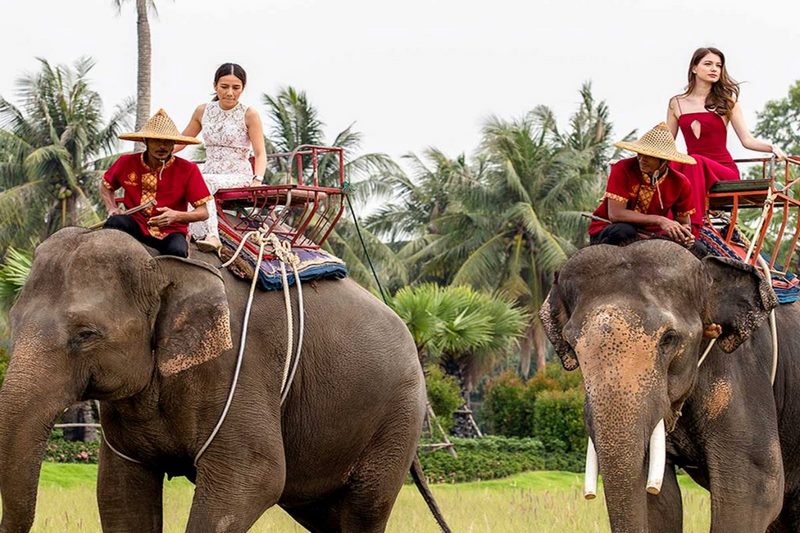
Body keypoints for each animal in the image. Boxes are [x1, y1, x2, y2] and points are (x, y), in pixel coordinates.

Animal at [0, 225, 450, 532]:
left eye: (86, 334)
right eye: (14, 321)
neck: (161, 259)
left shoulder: (241, 365)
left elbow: (254, 477)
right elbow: (119, 491)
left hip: (398, 417)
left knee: (364, 509)